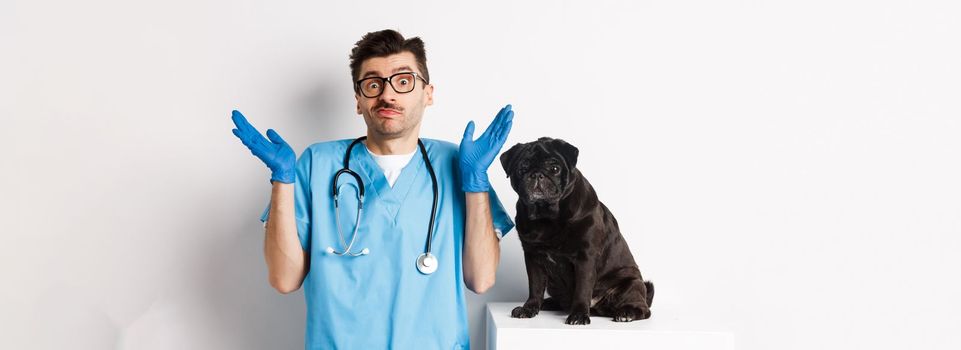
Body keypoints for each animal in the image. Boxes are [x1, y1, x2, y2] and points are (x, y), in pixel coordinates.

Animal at [496, 137, 652, 326]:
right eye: (522, 169)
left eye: (555, 169)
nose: (537, 174)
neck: (547, 216)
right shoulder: (533, 258)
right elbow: (535, 287)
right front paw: (529, 308)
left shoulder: (585, 258)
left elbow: (582, 289)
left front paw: (578, 315)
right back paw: (548, 303)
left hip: (631, 284)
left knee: (644, 309)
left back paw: (627, 313)